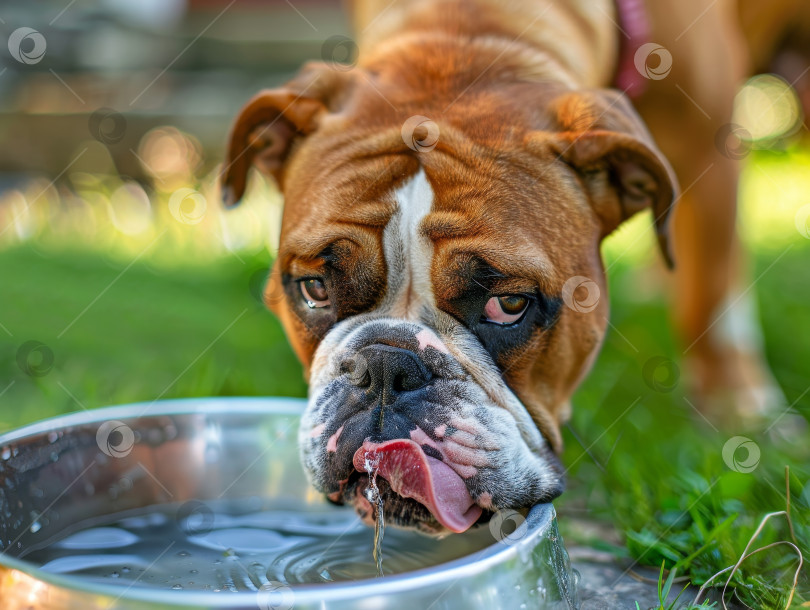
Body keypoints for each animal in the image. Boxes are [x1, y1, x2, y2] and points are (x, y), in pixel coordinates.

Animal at [218, 0, 792, 532]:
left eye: (509, 304)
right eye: (314, 288)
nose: (386, 366)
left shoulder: (710, 151)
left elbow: (710, 286)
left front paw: (736, 402)